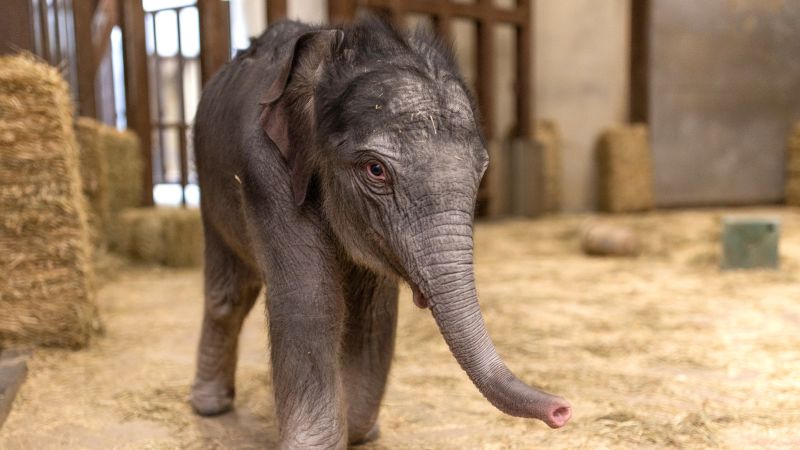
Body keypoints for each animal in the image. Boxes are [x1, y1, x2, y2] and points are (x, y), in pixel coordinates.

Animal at [190, 15, 571, 449]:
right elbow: (311, 300)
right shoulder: (266, 170)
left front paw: (359, 431)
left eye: (483, 170)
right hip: (208, 187)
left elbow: (372, 309)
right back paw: (210, 407)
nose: (562, 411)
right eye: (376, 170)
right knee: (229, 294)